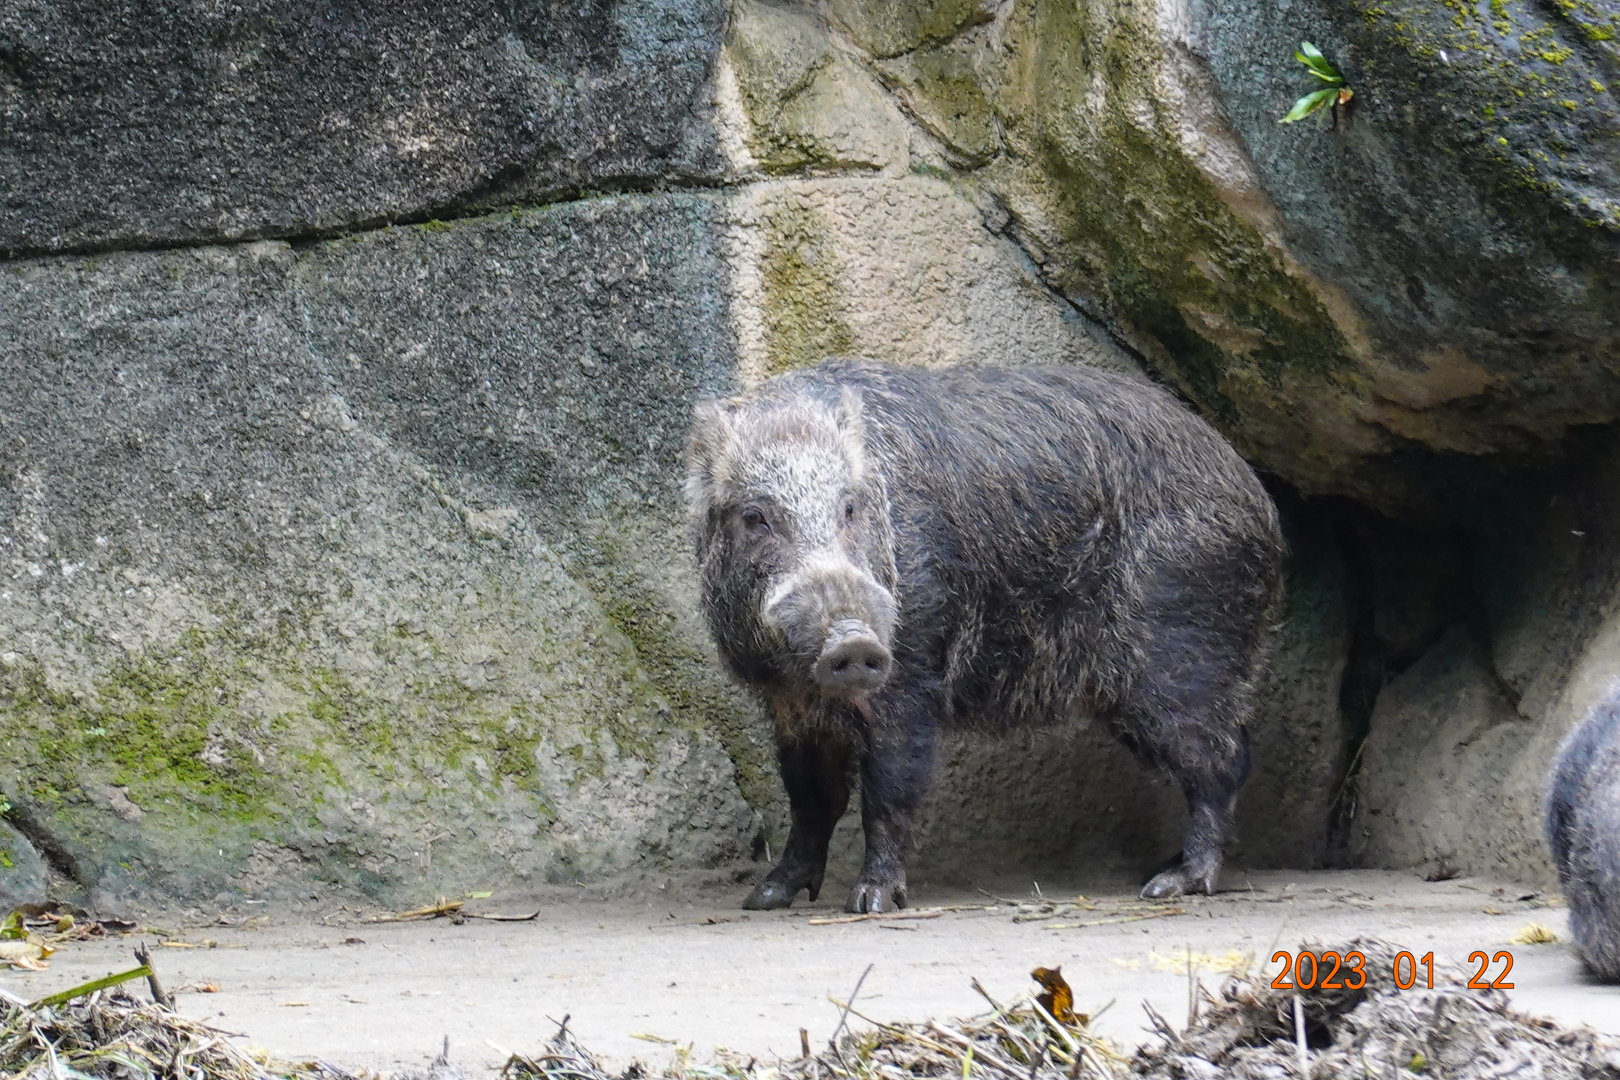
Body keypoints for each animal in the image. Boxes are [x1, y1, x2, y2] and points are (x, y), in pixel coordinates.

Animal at [685, 359, 1285, 912]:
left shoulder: (912, 672)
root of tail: (1260, 499)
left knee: (1224, 760)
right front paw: (765, 898)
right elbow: (811, 799)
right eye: (755, 516)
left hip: (1181, 655)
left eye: (850, 507)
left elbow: (888, 791)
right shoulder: (790, 704)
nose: (852, 641)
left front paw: (872, 902)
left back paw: (1172, 885)